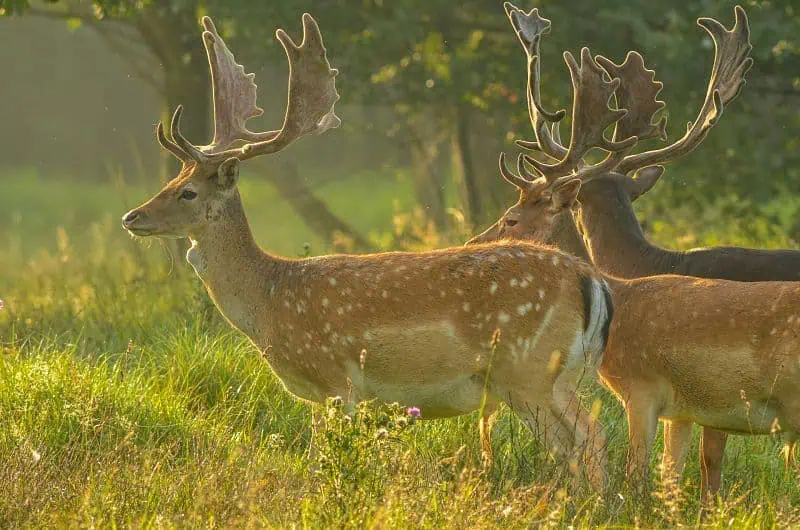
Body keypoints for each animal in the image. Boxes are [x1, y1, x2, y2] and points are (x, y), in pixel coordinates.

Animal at [122, 11, 612, 486]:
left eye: (187, 192)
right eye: (173, 180)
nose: (132, 217)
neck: (269, 300)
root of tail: (589, 279)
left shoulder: (337, 380)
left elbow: (322, 464)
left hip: (529, 370)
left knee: (588, 436)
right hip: (552, 377)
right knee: (579, 443)